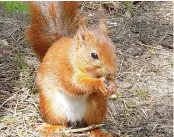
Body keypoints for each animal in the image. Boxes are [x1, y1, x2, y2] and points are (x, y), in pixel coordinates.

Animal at [26, 1, 117, 136]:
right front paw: (98, 83)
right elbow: (75, 84)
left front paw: (113, 85)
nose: (112, 72)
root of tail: (75, 117)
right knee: (61, 122)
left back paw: (99, 132)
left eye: (113, 49)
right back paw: (52, 128)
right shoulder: (65, 67)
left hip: (97, 107)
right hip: (51, 106)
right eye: (94, 55)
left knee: (92, 124)